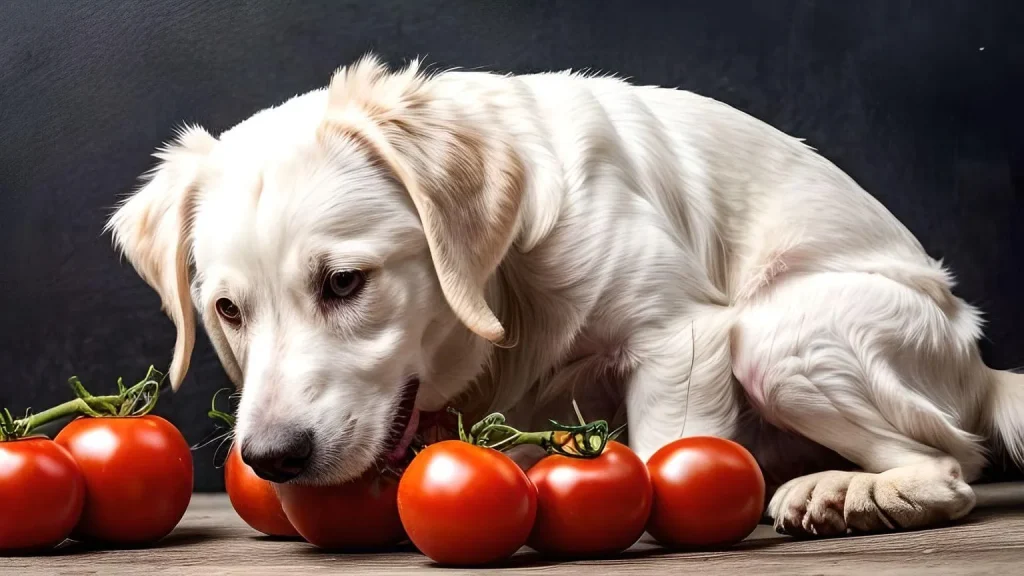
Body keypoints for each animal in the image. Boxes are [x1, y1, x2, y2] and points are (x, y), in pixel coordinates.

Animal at [108, 56, 1019, 537]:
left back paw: (854, 490)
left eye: (343, 283)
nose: (271, 460)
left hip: (782, 336)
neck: (505, 294)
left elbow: (668, 450)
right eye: (228, 311)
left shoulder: (679, 335)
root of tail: (978, 362)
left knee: (954, 464)